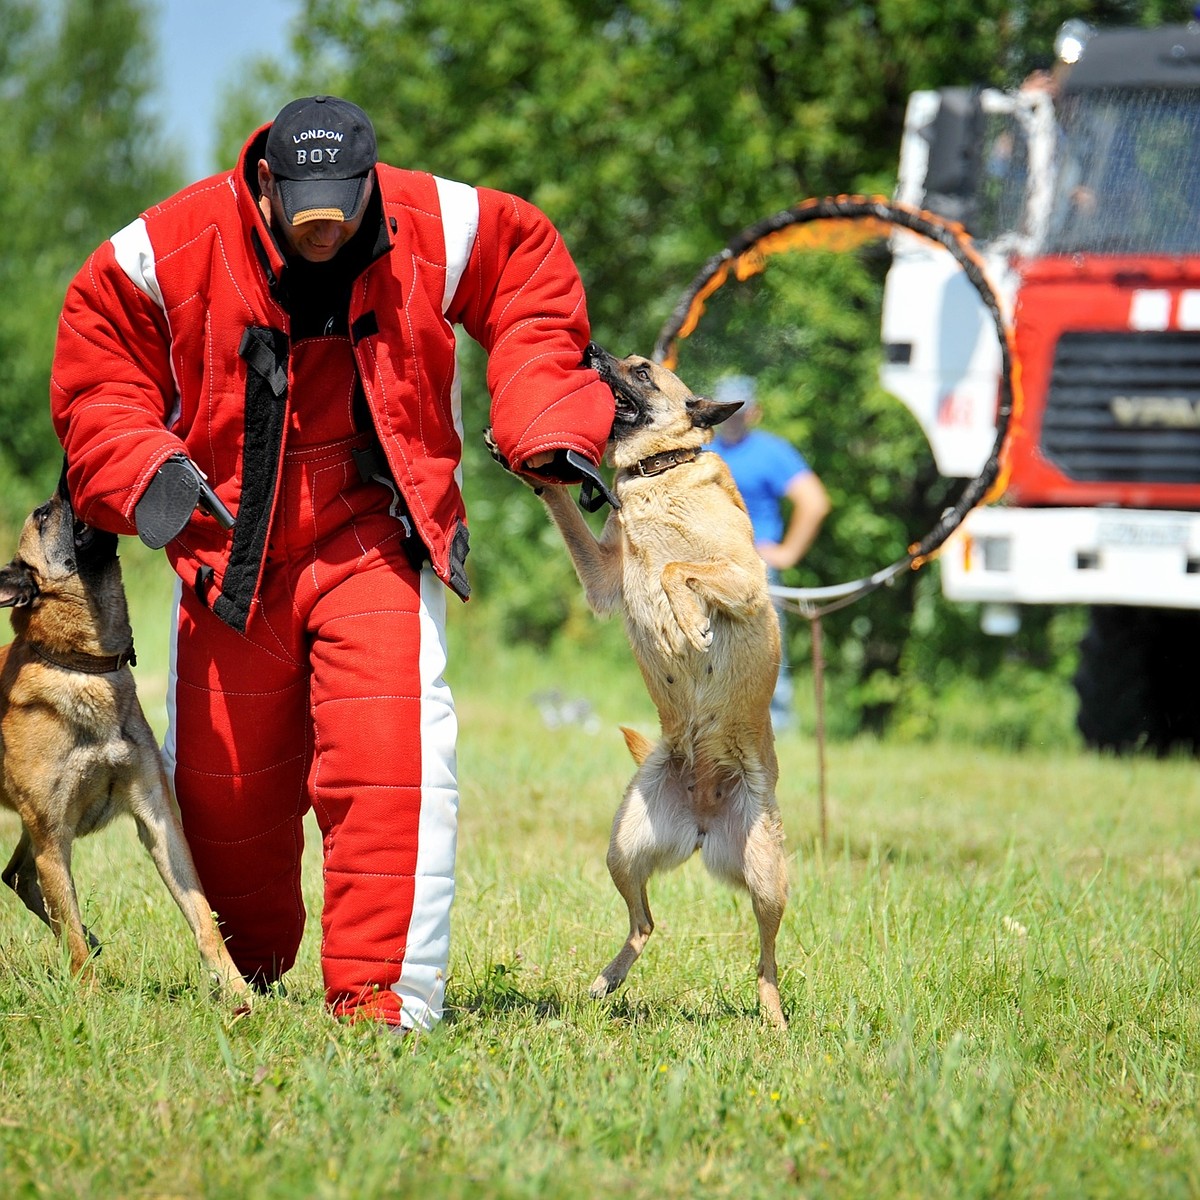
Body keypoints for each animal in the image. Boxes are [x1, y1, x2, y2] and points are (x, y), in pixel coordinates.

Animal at [0, 472, 247, 998]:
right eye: (44, 515)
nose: (67, 474)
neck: (81, 664)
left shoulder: (158, 818)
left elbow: (202, 915)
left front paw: (237, 988)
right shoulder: (53, 838)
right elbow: (69, 929)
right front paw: (88, 996)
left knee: (15, 876)